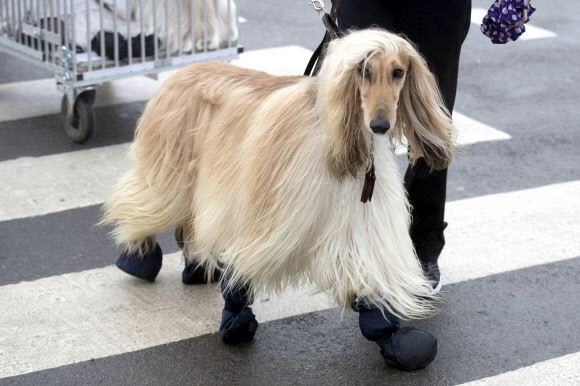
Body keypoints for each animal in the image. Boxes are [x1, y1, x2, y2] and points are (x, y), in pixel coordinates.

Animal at [103, 30, 458, 320]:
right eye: (364, 71)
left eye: (398, 72)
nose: (380, 125)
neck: (335, 133)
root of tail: (182, 70)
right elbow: (244, 268)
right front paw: (236, 315)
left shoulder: (355, 216)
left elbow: (363, 275)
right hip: (171, 166)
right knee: (146, 201)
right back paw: (140, 257)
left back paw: (195, 265)